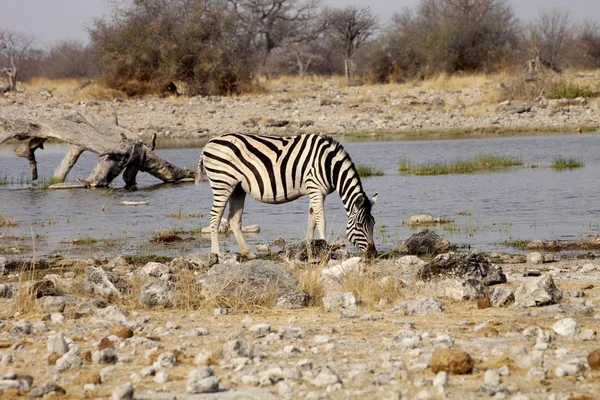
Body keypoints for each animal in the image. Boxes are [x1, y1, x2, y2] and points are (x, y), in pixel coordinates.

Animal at [196, 133, 376, 260]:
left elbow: (311, 221)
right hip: (222, 183)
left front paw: (310, 248)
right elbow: (321, 220)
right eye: (359, 225)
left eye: (373, 224)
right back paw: (217, 253)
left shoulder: (314, 191)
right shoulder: (316, 189)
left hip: (237, 188)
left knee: (234, 219)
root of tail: (208, 144)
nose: (373, 254)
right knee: (214, 216)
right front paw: (325, 248)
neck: (329, 165)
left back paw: (248, 253)